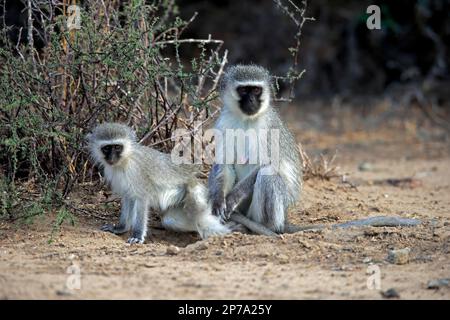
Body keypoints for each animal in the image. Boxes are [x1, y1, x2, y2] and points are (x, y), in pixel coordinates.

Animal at [86, 122, 230, 242]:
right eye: (106, 148)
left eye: (117, 147)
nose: (111, 158)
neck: (125, 160)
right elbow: (129, 197)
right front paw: (120, 228)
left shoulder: (137, 173)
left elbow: (142, 199)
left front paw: (137, 235)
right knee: (170, 220)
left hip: (197, 192)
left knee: (198, 214)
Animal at [208, 65, 302, 234]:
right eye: (244, 90)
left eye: (257, 90)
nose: (251, 100)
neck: (247, 119)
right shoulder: (224, 123)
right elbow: (224, 163)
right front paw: (218, 201)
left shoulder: (270, 128)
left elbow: (268, 164)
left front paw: (232, 198)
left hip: (284, 202)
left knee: (267, 175)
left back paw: (266, 227)